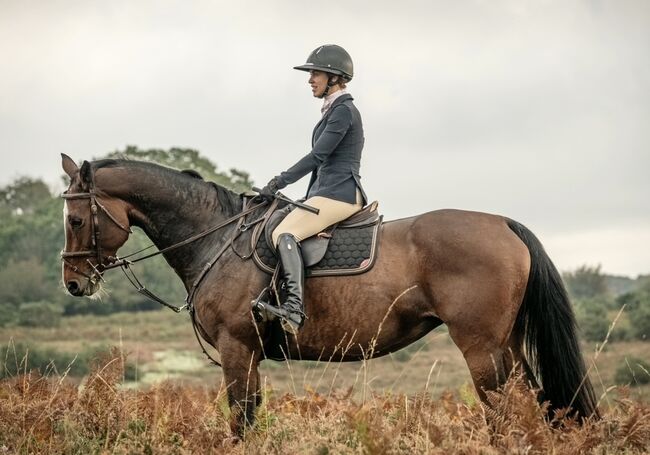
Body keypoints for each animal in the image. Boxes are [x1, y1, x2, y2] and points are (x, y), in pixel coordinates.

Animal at [60, 155, 596, 436]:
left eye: (76, 219)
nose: (73, 284)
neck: (217, 237)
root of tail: (501, 222)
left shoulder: (237, 348)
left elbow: (240, 419)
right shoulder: (249, 354)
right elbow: (251, 416)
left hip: (481, 347)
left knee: (504, 409)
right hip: (507, 345)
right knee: (536, 402)